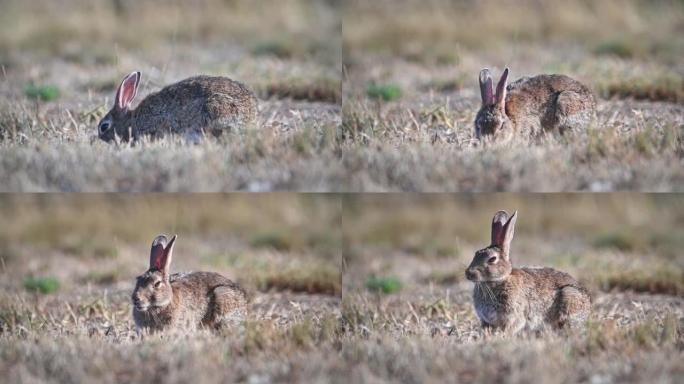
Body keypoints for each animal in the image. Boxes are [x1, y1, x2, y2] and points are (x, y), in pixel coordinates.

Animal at [464, 210, 592, 332]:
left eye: (492, 259)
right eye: (476, 254)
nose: (469, 273)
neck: (498, 281)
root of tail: (588, 310)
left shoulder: (515, 316)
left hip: (569, 297)